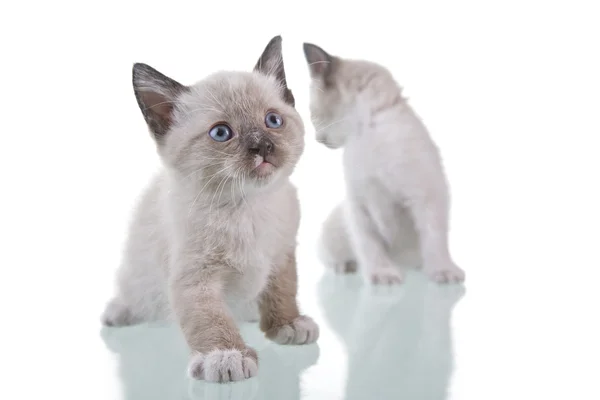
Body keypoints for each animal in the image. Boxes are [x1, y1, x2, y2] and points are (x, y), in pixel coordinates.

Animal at [101, 36, 322, 382]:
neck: (249, 208)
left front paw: (287, 323)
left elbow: (283, 292)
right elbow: (210, 318)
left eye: (273, 120)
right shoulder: (195, 277)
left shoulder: (282, 255)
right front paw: (225, 355)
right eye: (221, 133)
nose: (262, 146)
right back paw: (118, 313)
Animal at [304, 43, 464, 284]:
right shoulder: (359, 204)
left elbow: (433, 239)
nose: (316, 138)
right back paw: (346, 267)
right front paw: (383, 274)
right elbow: (370, 244)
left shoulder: (426, 197)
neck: (365, 133)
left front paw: (443, 271)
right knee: (331, 256)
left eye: (312, 115)